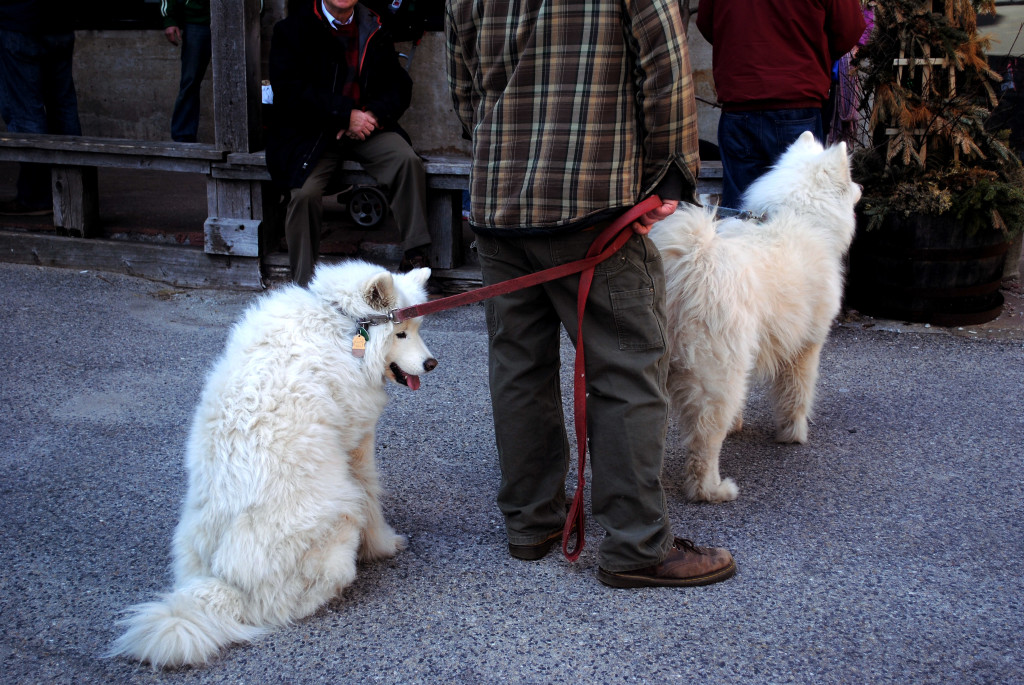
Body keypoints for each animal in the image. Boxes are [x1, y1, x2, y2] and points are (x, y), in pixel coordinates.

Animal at [109, 259, 436, 663]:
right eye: (401, 333)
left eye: (417, 329)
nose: (431, 363)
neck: (340, 323)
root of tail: (224, 584)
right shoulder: (357, 442)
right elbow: (371, 497)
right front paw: (385, 545)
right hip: (338, 518)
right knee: (283, 606)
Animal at [651, 131, 860, 501]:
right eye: (851, 180)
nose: (862, 186)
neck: (797, 214)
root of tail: (690, 259)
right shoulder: (807, 345)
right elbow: (797, 393)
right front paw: (793, 434)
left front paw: (739, 425)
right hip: (715, 374)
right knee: (704, 440)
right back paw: (713, 490)